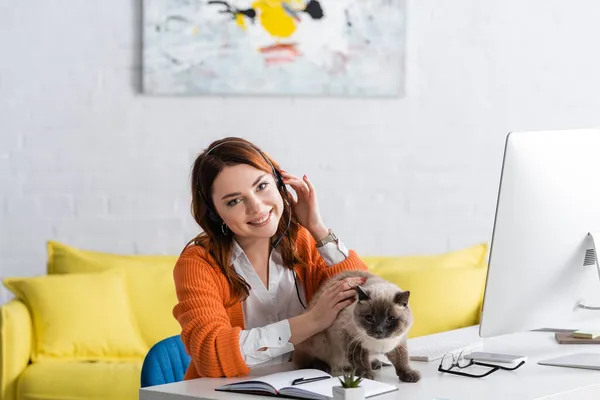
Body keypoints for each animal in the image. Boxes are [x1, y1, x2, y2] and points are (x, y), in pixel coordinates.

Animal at [292, 270, 420, 382]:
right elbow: (360, 361)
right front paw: (366, 375)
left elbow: (402, 360)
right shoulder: (353, 341)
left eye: (390, 319)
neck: (378, 343)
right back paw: (322, 367)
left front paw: (409, 374)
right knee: (306, 362)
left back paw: (376, 363)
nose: (379, 331)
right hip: (318, 340)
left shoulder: (397, 343)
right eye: (369, 318)